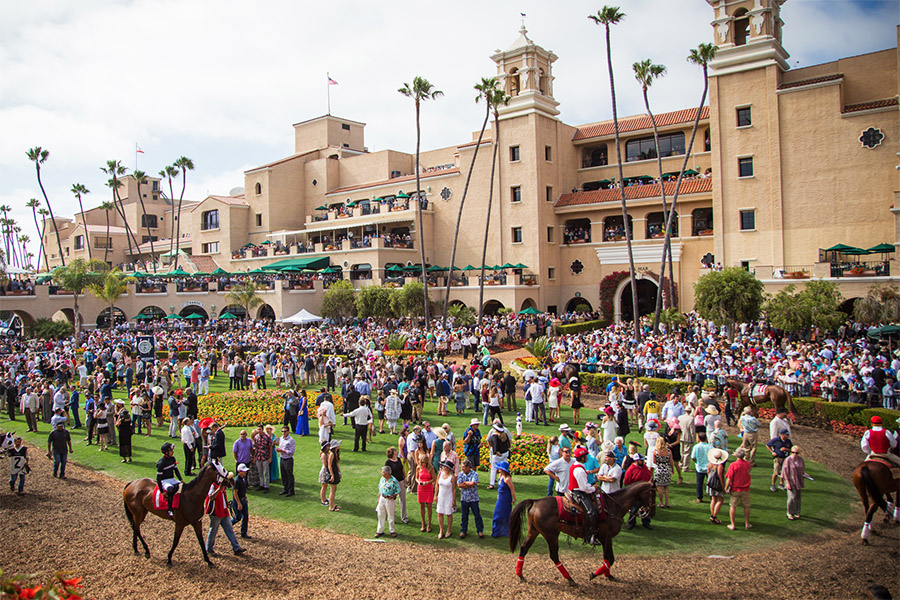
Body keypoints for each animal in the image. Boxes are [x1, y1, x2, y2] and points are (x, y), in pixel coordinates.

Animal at [510, 482, 656, 584]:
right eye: (653, 494)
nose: (652, 512)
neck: (613, 507)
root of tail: (536, 501)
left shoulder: (606, 538)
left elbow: (607, 557)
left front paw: (608, 575)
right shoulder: (606, 537)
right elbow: (611, 559)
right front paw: (594, 575)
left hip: (534, 532)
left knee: (524, 548)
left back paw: (520, 575)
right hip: (551, 535)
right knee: (554, 556)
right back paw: (570, 578)